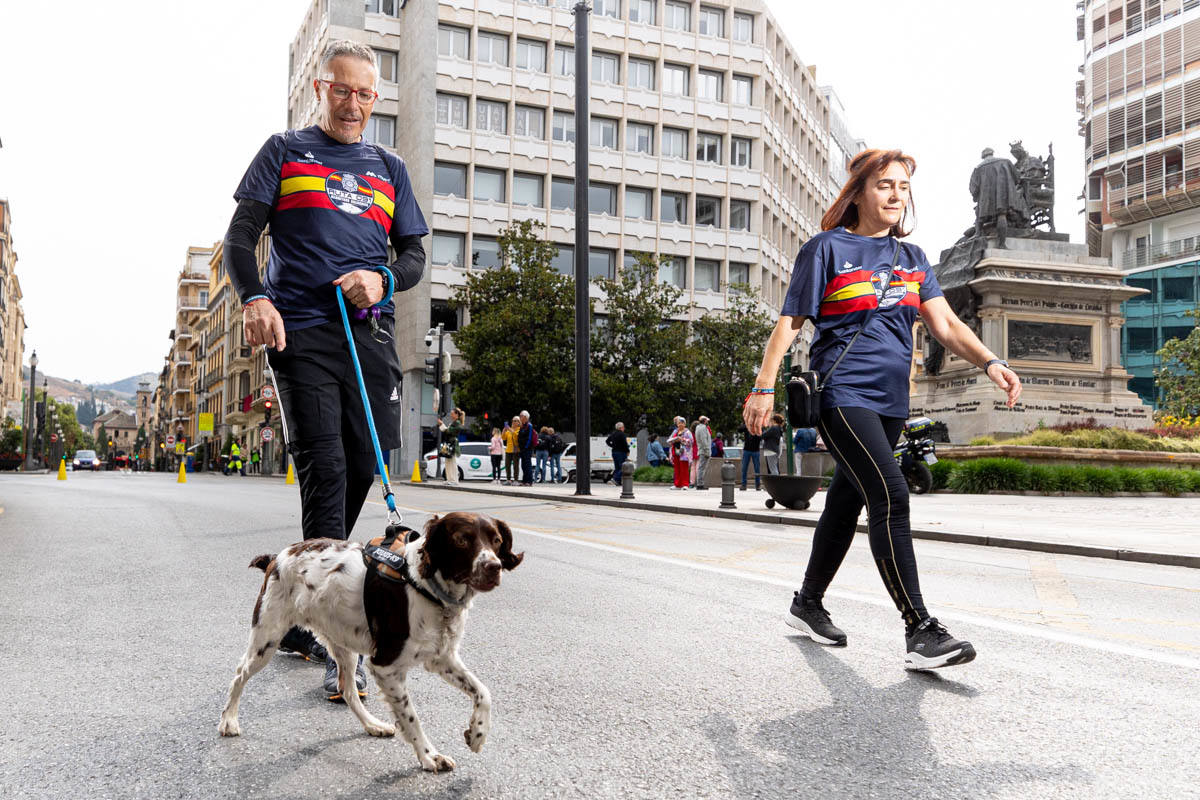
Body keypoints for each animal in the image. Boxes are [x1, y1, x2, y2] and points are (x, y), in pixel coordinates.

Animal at [217, 515, 525, 772]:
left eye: (496, 541)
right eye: (462, 539)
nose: (494, 567)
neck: (426, 585)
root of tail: (278, 556)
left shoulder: (442, 657)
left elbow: (483, 692)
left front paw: (477, 734)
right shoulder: (386, 665)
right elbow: (411, 717)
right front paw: (430, 757)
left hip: (343, 644)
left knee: (347, 689)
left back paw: (373, 725)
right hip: (266, 637)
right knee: (239, 674)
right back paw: (228, 720)